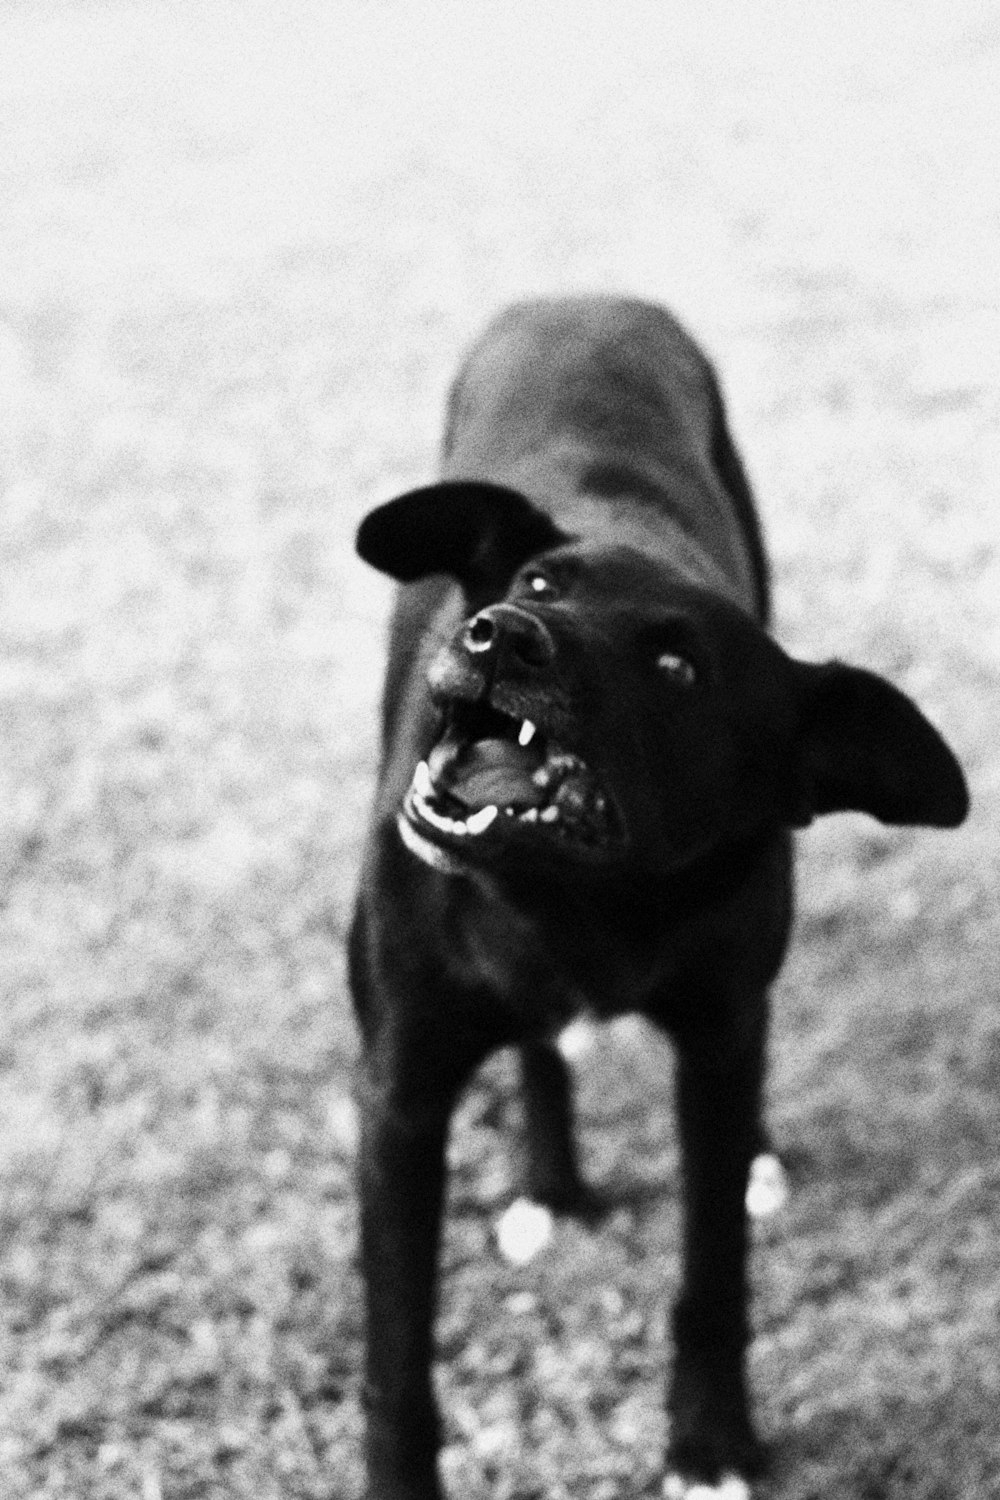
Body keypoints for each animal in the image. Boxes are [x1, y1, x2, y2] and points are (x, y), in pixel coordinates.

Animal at [352, 295, 971, 1500]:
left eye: (678, 669)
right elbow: (398, 1363)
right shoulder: (399, 1093)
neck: (578, 901)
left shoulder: (715, 1041)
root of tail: (581, 299)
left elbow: (714, 1275)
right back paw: (550, 1184)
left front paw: (710, 1441)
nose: (501, 634)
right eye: (537, 587)